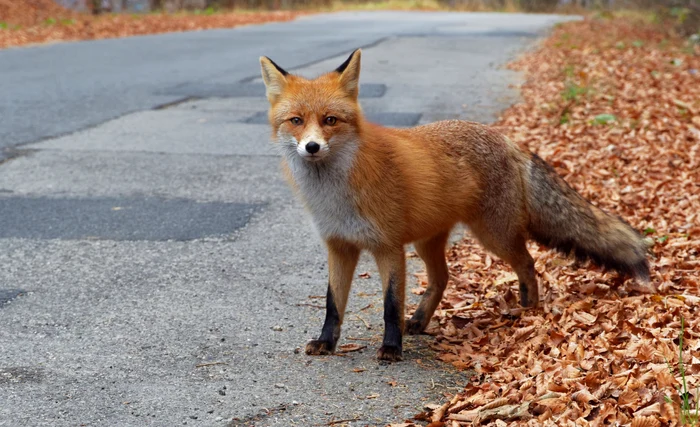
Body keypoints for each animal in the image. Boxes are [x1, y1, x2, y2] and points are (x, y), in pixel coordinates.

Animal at [258, 48, 652, 362]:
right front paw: (327, 343)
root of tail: (507, 140)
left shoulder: (388, 247)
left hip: (492, 235)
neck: (335, 196)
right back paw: (420, 321)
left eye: (330, 120)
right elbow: (332, 304)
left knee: (528, 263)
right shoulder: (340, 246)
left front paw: (391, 348)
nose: (311, 147)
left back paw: (529, 308)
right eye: (296, 121)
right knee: (443, 278)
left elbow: (390, 305)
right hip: (427, 241)